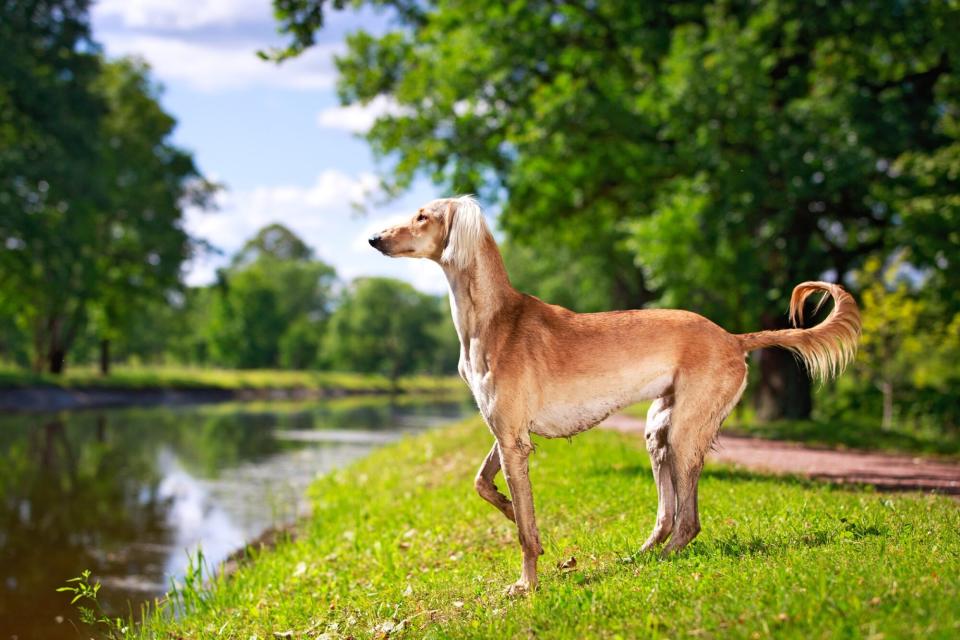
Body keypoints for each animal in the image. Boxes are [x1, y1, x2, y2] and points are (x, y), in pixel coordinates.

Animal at [368, 195, 864, 596]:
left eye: (422, 216)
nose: (374, 239)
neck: (492, 319)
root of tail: (732, 338)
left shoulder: (513, 440)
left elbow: (525, 531)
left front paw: (526, 584)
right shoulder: (506, 434)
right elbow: (482, 485)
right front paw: (510, 509)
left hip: (685, 433)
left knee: (688, 521)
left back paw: (658, 564)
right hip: (658, 432)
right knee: (667, 515)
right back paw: (637, 558)